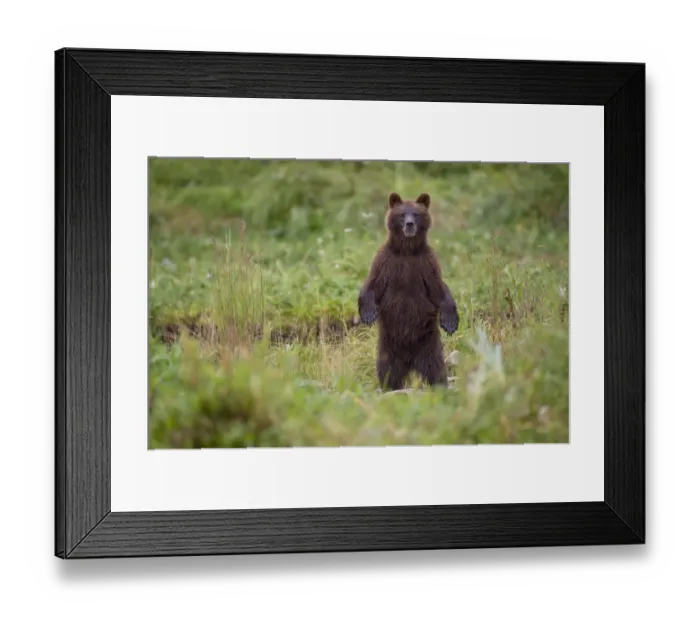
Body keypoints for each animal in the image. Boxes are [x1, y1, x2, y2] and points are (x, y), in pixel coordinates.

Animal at [358, 192, 459, 391]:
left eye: (416, 214)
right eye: (402, 214)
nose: (410, 224)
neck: (407, 251)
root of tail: (410, 362)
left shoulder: (426, 265)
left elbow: (439, 289)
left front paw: (450, 322)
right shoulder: (386, 262)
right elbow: (372, 285)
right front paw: (368, 314)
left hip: (429, 345)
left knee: (436, 368)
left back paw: (440, 385)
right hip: (388, 347)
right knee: (387, 370)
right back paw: (390, 387)